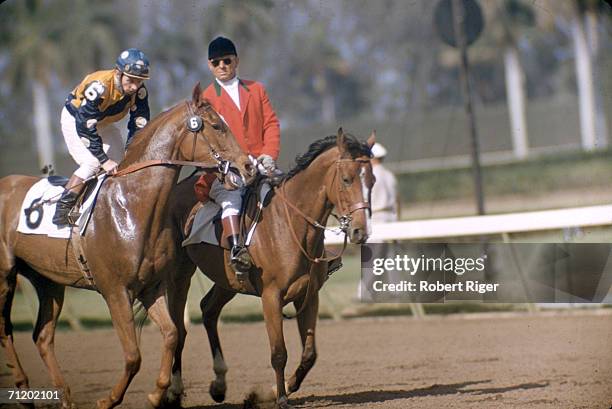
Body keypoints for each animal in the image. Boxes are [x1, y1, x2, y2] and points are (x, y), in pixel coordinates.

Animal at [0, 83, 256, 408]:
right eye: (216, 125)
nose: (248, 166)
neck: (131, 206)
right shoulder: (115, 292)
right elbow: (134, 356)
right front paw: (108, 400)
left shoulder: (151, 287)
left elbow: (172, 334)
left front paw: (158, 393)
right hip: (5, 275)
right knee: (5, 330)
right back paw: (23, 388)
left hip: (48, 280)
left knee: (43, 337)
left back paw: (65, 397)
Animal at [167, 129, 376, 406]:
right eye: (346, 179)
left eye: (372, 181)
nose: (360, 231)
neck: (291, 226)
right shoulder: (271, 298)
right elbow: (279, 353)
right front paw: (281, 398)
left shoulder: (308, 297)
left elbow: (309, 354)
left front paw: (280, 388)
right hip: (180, 274)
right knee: (178, 327)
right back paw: (173, 390)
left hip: (228, 282)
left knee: (208, 310)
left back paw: (219, 385)